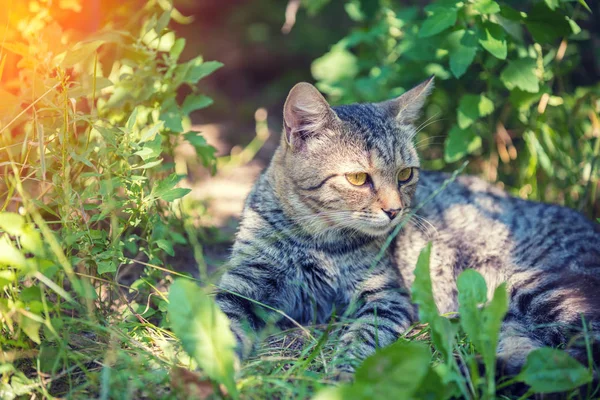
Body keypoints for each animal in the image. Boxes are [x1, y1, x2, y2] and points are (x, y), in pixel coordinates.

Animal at [216, 79, 600, 382]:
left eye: (405, 174)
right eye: (358, 178)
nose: (394, 210)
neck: (319, 242)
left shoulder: (387, 296)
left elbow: (362, 336)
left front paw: (344, 372)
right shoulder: (245, 283)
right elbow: (220, 321)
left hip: (534, 283)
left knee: (583, 353)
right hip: (511, 320)